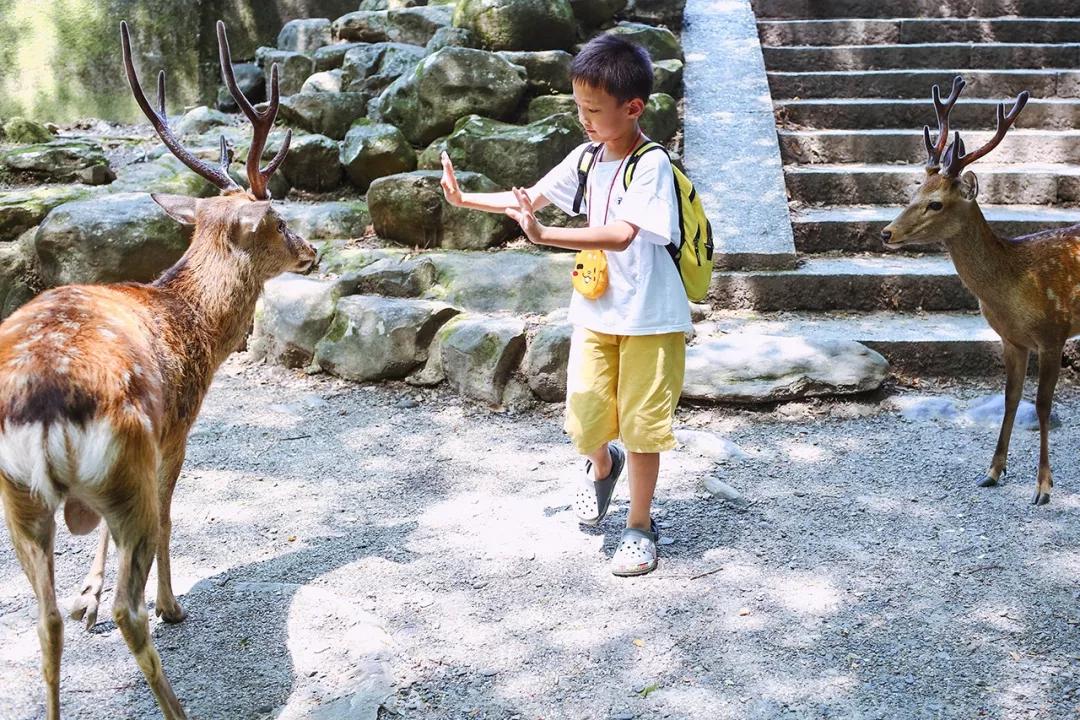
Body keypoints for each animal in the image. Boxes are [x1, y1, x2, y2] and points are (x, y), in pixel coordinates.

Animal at [0, 18, 313, 720]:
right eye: (279, 218)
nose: (312, 251)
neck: (190, 323)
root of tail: (44, 403)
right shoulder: (177, 430)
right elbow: (173, 515)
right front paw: (171, 603)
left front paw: (85, 594)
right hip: (128, 461)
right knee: (130, 606)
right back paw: (165, 661)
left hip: (20, 496)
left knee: (43, 619)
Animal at [876, 76, 1080, 507]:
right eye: (913, 194)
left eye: (936, 203)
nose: (886, 232)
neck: (1012, 288)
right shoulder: (1010, 339)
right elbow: (1010, 398)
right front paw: (992, 472)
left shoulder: (1053, 332)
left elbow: (1042, 404)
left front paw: (1043, 488)